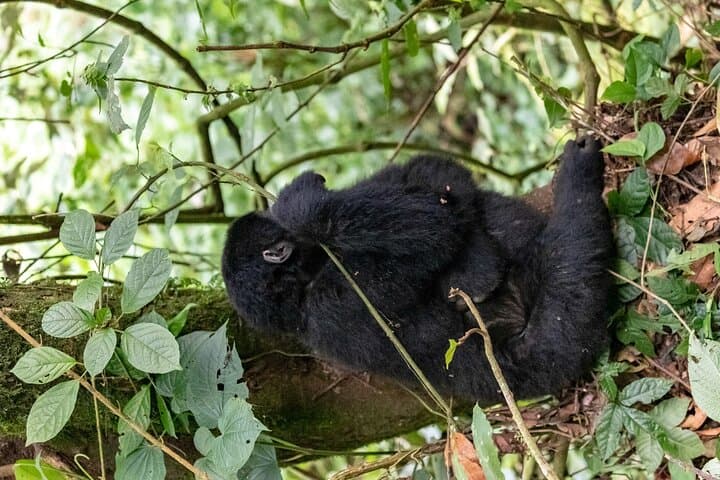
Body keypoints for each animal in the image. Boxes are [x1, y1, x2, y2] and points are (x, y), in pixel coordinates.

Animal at [221, 137, 612, 403]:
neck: (299, 300)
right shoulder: (343, 293)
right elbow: (437, 228)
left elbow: (426, 172)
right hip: (555, 330)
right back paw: (577, 180)